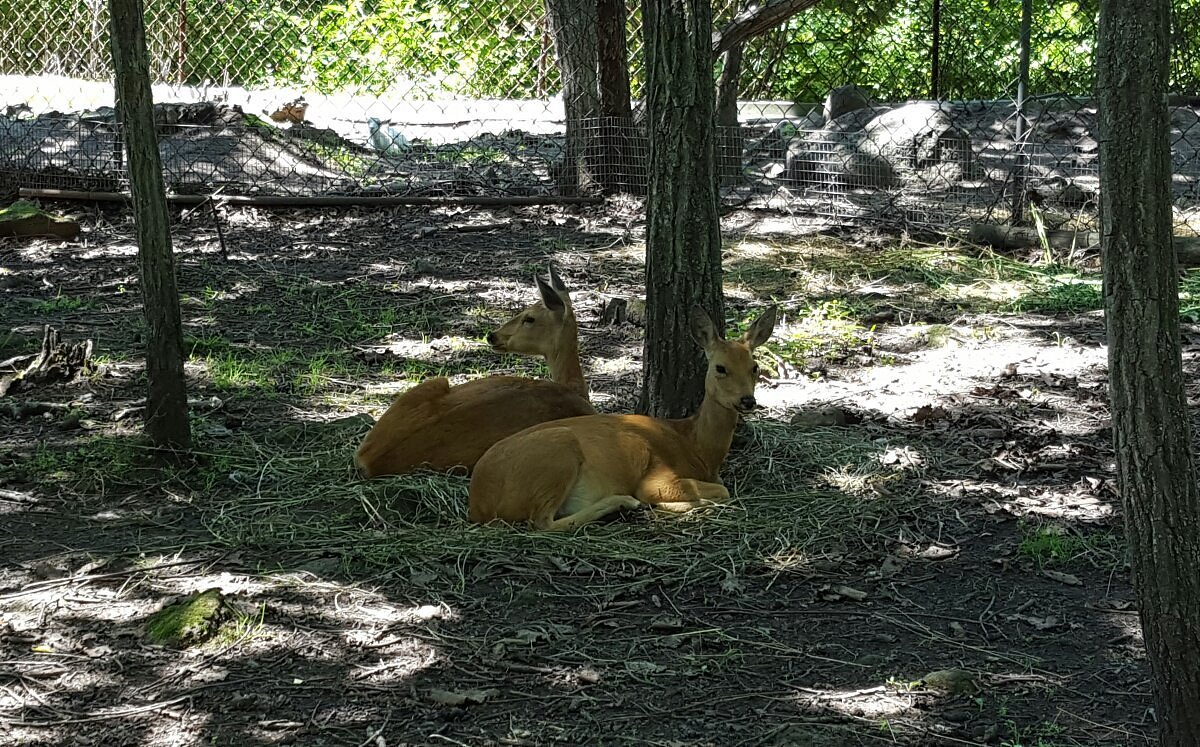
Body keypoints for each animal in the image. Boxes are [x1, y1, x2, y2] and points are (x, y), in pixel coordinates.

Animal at [468, 306, 777, 533]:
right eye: (720, 368)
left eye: (755, 367)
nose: (748, 401)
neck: (697, 447)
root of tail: (478, 503)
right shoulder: (657, 477)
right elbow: (720, 491)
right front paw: (671, 506)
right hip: (557, 452)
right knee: (542, 522)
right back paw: (623, 502)